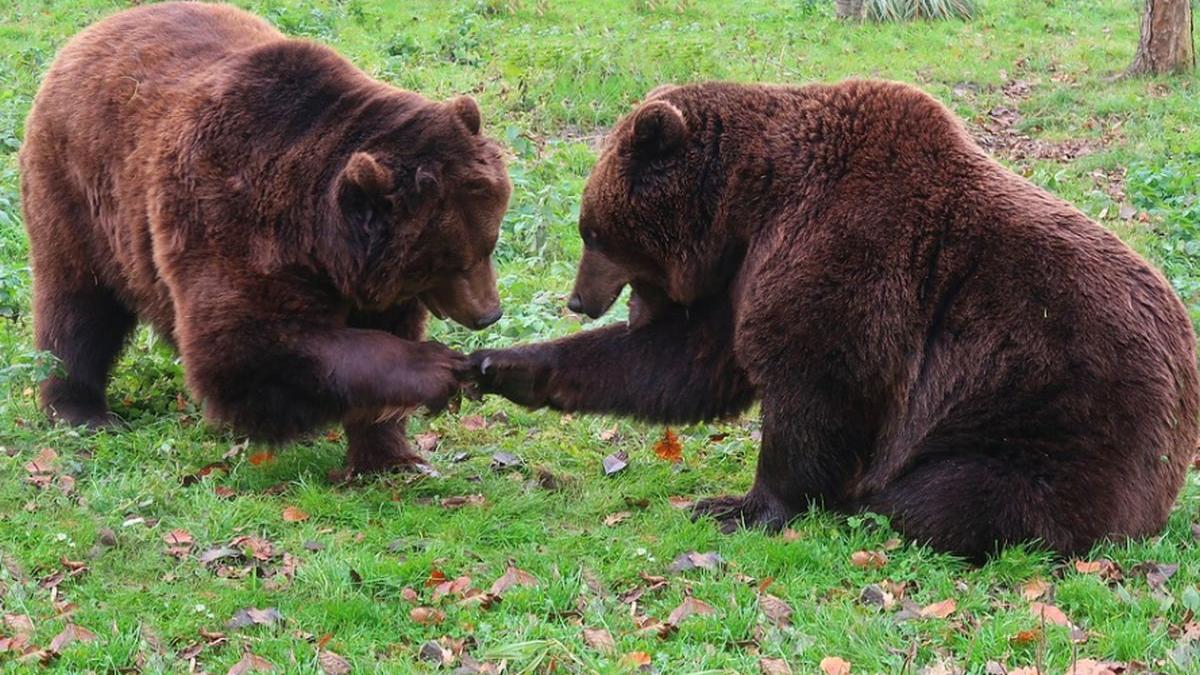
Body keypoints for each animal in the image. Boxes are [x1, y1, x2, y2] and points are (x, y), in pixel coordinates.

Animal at [21, 1, 511, 473]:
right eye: (452, 261)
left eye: (489, 244)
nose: (489, 313)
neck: (320, 240)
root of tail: (92, 32)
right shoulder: (233, 221)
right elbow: (247, 347)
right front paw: (436, 367)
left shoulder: (370, 278)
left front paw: (391, 457)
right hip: (79, 194)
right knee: (78, 307)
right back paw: (80, 409)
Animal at [472, 81, 1200, 559]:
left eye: (591, 230)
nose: (577, 300)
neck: (751, 202)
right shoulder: (746, 275)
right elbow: (684, 362)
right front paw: (502, 364)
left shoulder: (847, 253)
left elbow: (818, 385)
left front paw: (738, 506)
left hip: (1057, 421)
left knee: (953, 497)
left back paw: (879, 502)